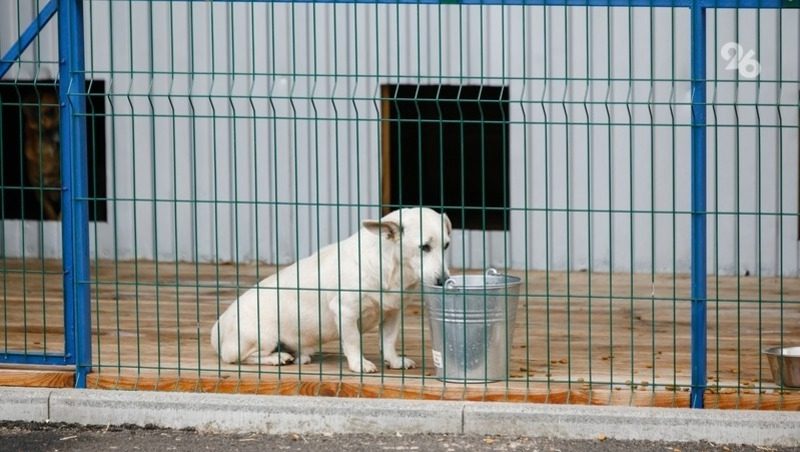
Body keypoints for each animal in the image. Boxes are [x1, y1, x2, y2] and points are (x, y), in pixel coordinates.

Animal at [211, 207, 450, 372]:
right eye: (424, 247)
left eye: (446, 245)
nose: (444, 280)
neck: (393, 268)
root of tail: (218, 327)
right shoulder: (346, 312)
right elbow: (353, 342)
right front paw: (359, 365)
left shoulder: (392, 313)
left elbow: (389, 341)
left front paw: (394, 361)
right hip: (263, 337)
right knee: (238, 358)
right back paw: (277, 358)